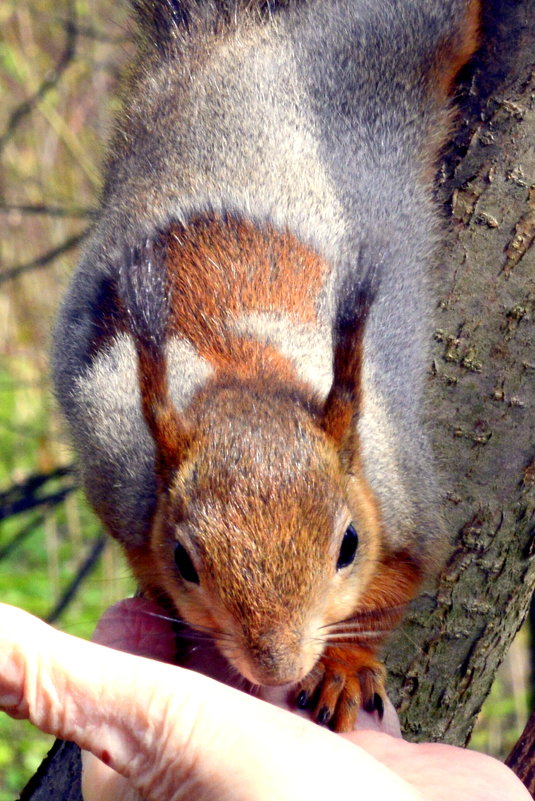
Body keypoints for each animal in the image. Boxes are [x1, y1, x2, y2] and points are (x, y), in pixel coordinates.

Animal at [53, 0, 482, 732]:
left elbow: (393, 591)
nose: (276, 664)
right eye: (183, 559)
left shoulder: (401, 495)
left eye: (348, 545)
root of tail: (240, 40)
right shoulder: (122, 489)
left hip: (404, 33)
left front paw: (343, 667)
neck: (243, 371)